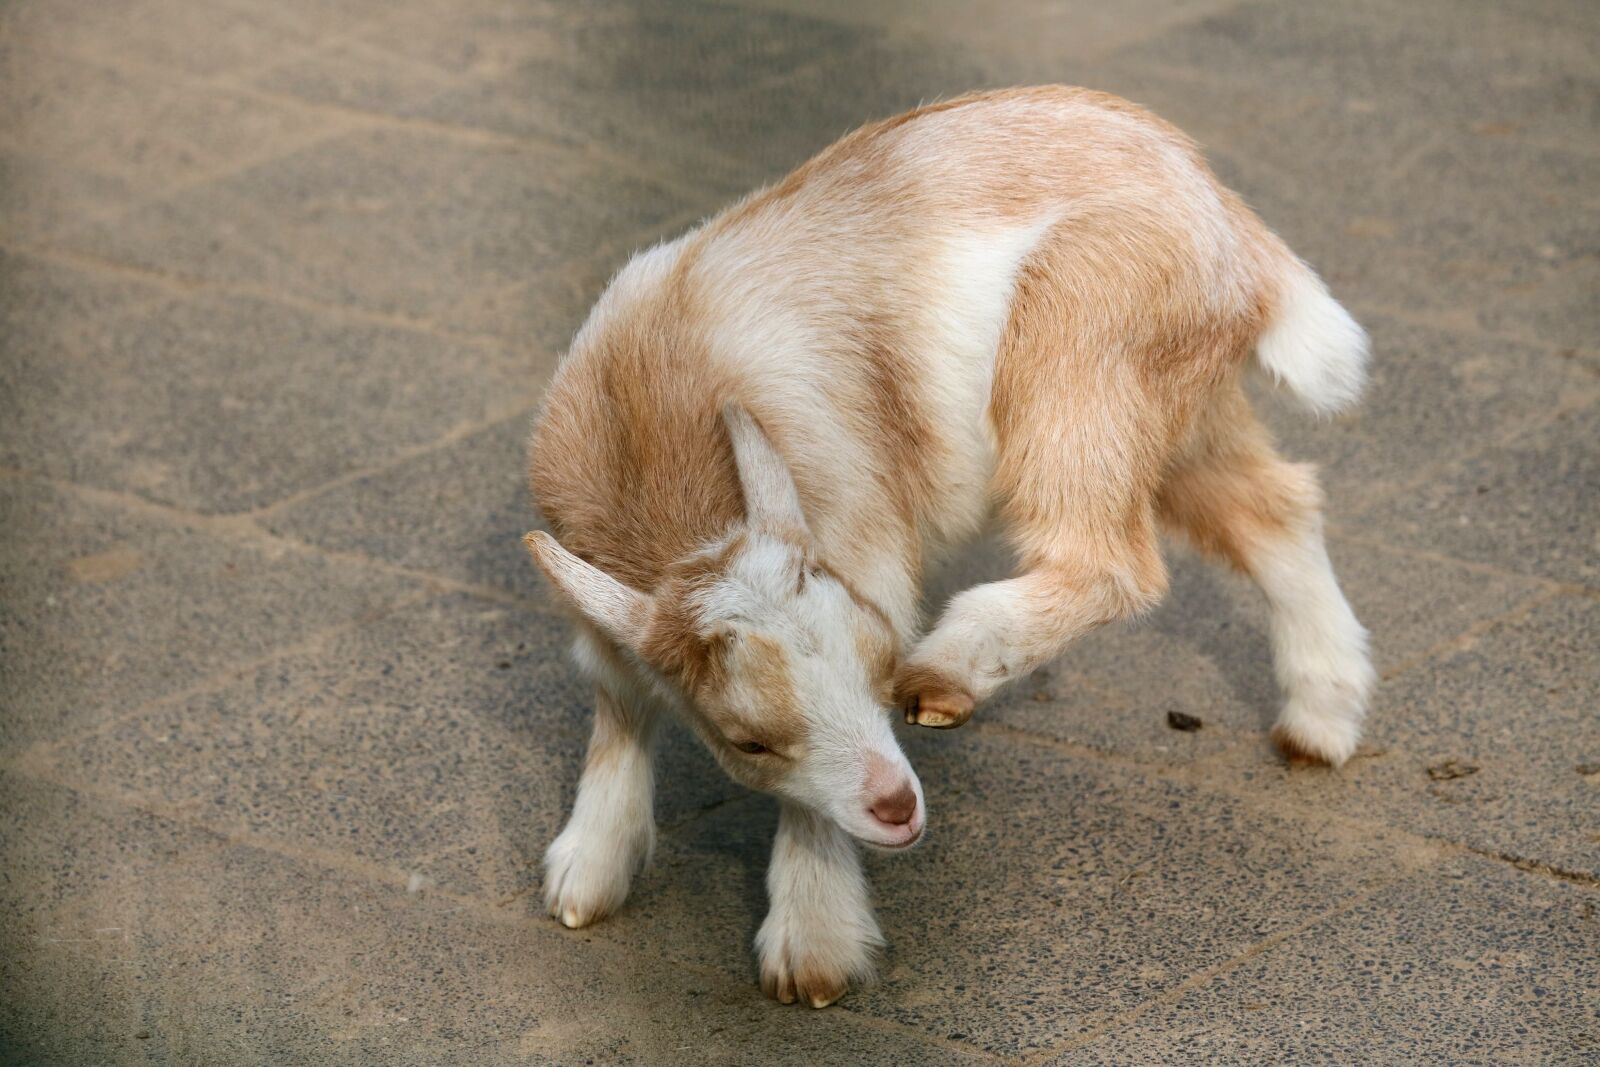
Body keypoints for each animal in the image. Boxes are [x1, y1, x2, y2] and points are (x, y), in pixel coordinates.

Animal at [524, 86, 1374, 1007]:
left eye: (875, 668)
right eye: (746, 740)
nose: (899, 808)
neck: (640, 419)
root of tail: (1225, 215)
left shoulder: (862, 547)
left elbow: (808, 801)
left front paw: (813, 952)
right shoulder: (602, 602)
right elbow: (619, 703)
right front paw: (585, 879)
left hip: (1082, 373)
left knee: (1117, 561)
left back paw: (949, 672)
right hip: (1175, 411)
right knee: (1279, 507)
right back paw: (1321, 717)